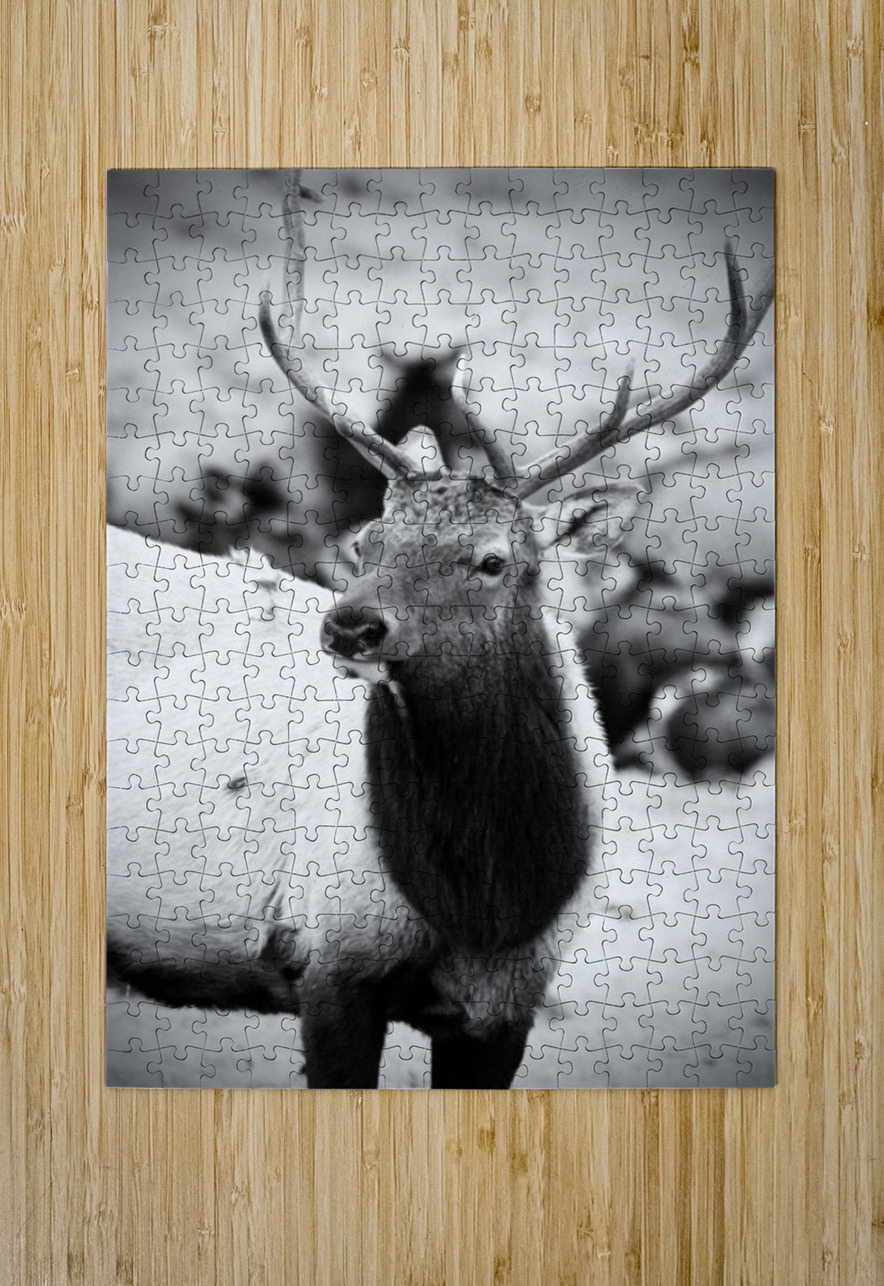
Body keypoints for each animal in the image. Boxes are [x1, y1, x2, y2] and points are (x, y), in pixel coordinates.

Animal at [107, 225, 773, 1087]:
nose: (350, 627)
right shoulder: (332, 961)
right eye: (370, 540)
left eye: (492, 560)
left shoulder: (505, 1008)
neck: (486, 900)